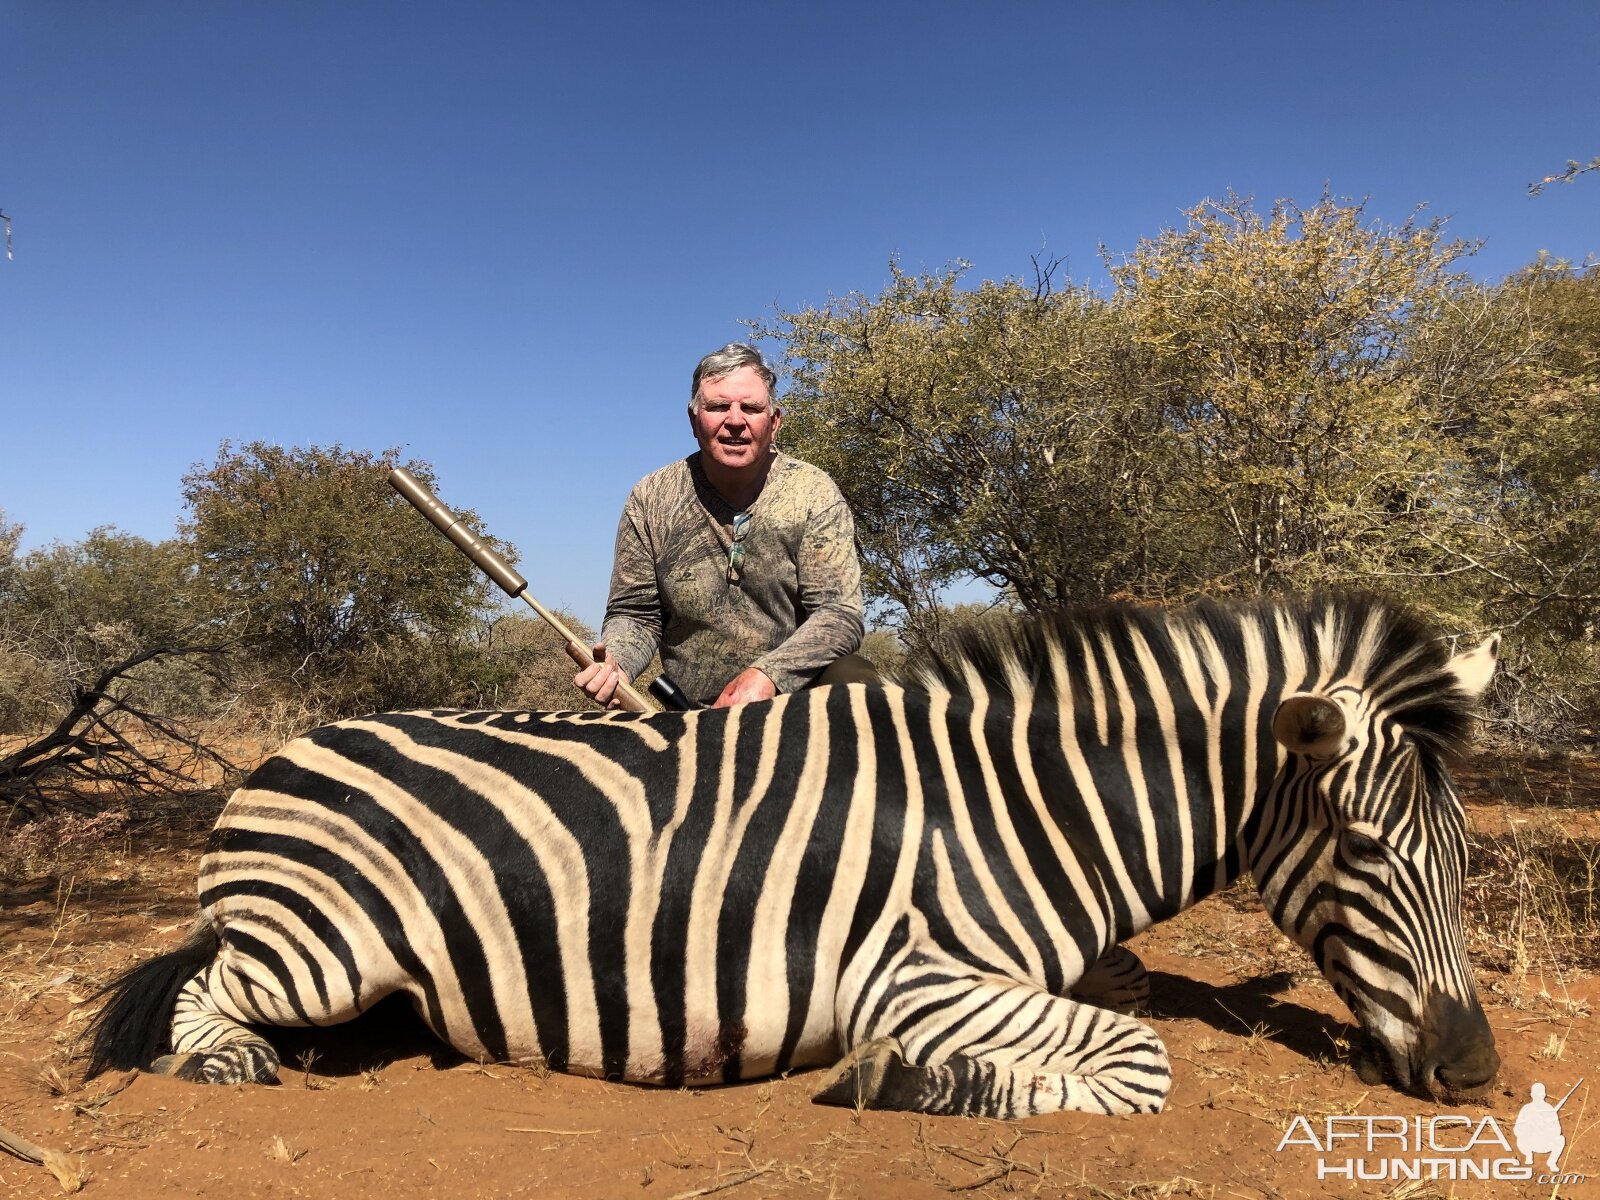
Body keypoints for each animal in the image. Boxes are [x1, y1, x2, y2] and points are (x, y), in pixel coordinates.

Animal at [81, 592, 1504, 1120]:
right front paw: (912, 1081)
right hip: (316, 953)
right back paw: (229, 1064)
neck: (1023, 805)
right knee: (203, 993)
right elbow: (1141, 1062)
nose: (1477, 1073)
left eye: (1459, 856)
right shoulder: (916, 975)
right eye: (1367, 850)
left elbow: (1127, 1007)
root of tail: (285, 750)